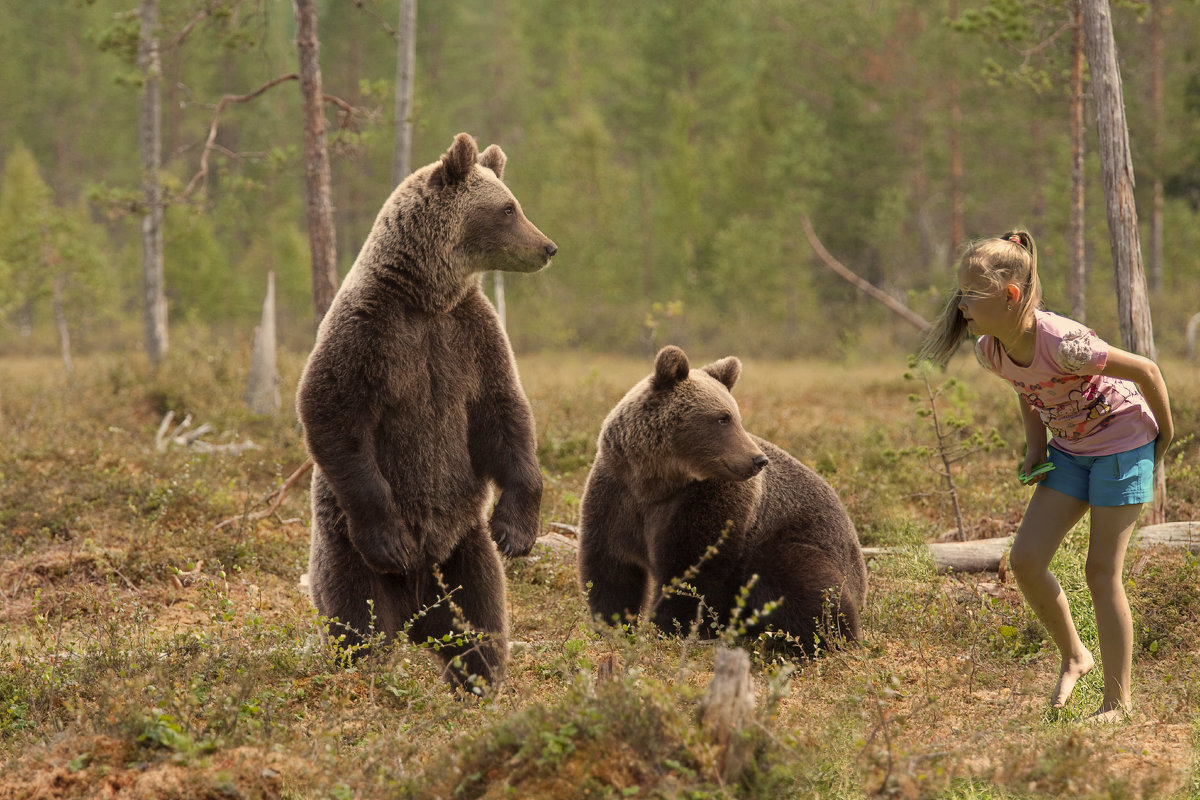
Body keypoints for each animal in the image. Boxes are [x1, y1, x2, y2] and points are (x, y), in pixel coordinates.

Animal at [297, 134, 559, 690]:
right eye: (508, 208)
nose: (548, 247)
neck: (427, 297)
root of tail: (418, 615)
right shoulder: (370, 332)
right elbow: (333, 411)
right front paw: (391, 537)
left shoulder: (471, 336)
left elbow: (504, 415)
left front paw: (516, 530)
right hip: (345, 551)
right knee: (359, 625)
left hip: (465, 553)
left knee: (482, 625)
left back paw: (478, 682)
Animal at [578, 347, 868, 652]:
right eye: (722, 418)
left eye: (735, 416)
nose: (758, 459)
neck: (657, 481)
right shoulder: (617, 493)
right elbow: (612, 568)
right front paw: (614, 626)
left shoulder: (707, 502)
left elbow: (694, 570)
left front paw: (671, 628)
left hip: (799, 538)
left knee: (800, 581)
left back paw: (824, 638)